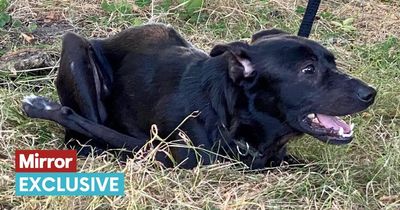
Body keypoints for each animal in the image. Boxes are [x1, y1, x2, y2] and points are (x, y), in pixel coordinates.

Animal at [20, 23, 376, 169]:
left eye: (332, 62)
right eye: (308, 70)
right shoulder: (168, 155)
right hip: (75, 48)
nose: (371, 94)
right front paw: (41, 106)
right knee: (81, 134)